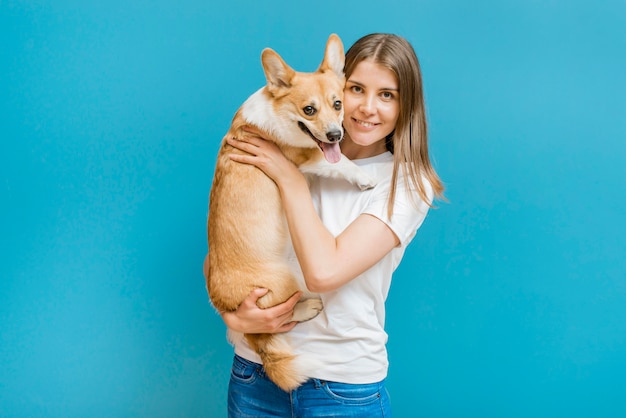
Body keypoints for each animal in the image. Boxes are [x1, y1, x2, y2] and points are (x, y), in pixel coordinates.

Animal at [205, 33, 372, 392]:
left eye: (338, 104)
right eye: (309, 110)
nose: (336, 135)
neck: (277, 111)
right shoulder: (307, 157)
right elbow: (339, 163)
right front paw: (364, 177)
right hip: (287, 279)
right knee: (280, 318)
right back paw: (308, 307)